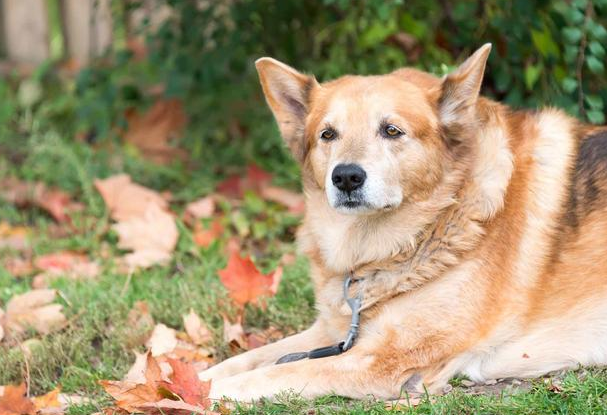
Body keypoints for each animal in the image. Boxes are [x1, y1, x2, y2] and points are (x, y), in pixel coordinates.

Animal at [200, 43, 607, 404]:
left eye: (391, 130)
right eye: (327, 134)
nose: (346, 178)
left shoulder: (382, 360)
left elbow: (265, 375)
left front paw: (204, 394)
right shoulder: (331, 332)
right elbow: (240, 362)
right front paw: (193, 377)